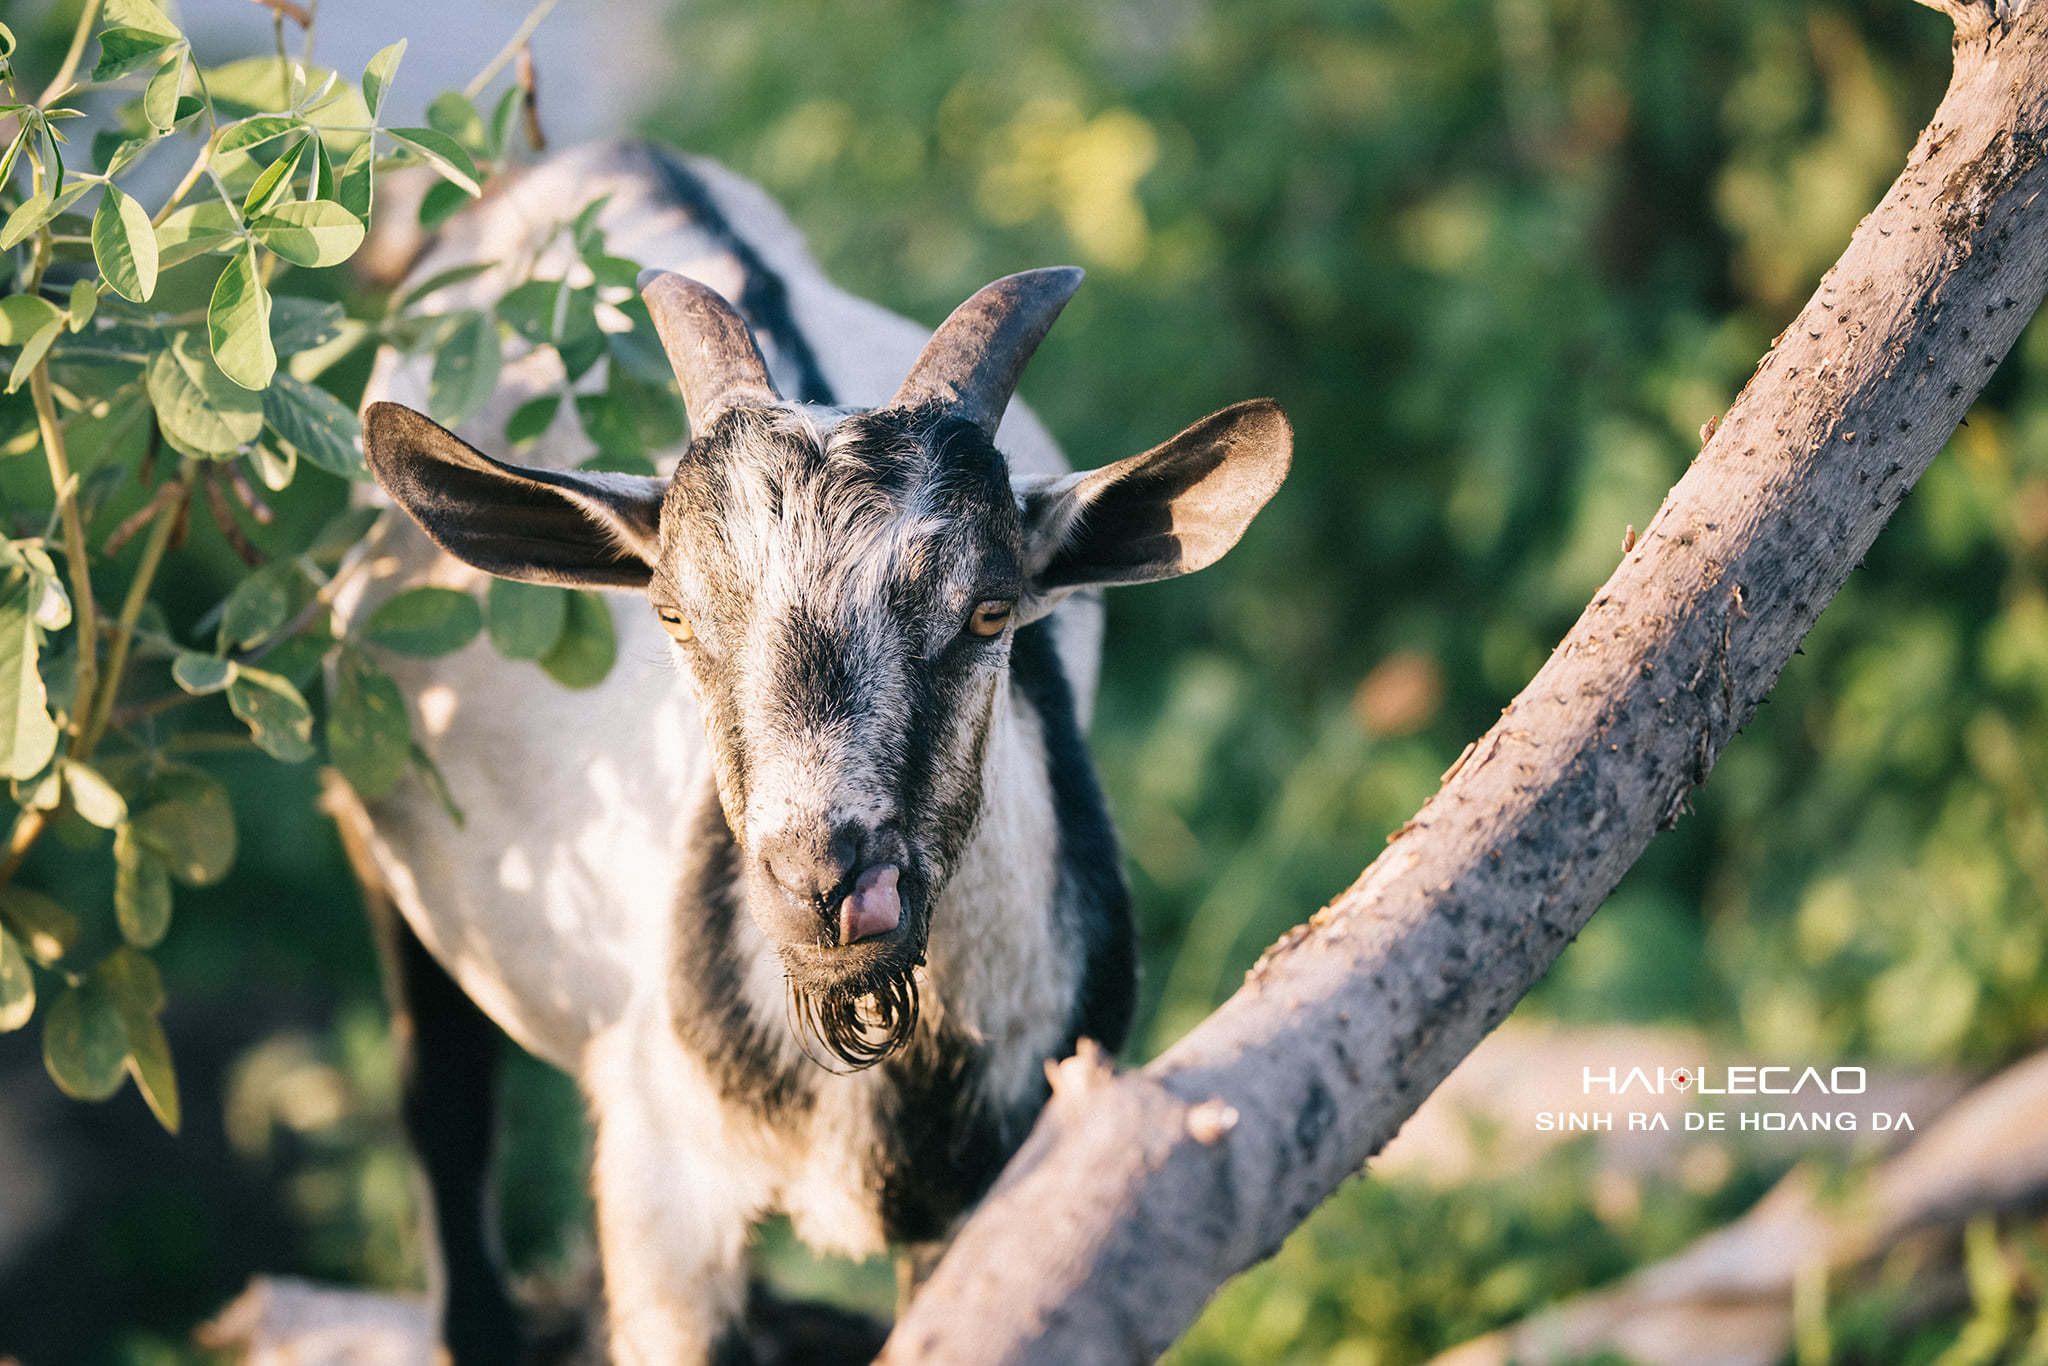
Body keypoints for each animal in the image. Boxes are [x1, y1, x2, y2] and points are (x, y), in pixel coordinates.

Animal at [342, 141, 1286, 1366]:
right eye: (676, 616)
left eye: (990, 610)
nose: (828, 888)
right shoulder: (660, 1191)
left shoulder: (994, 1189)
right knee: (443, 1097)